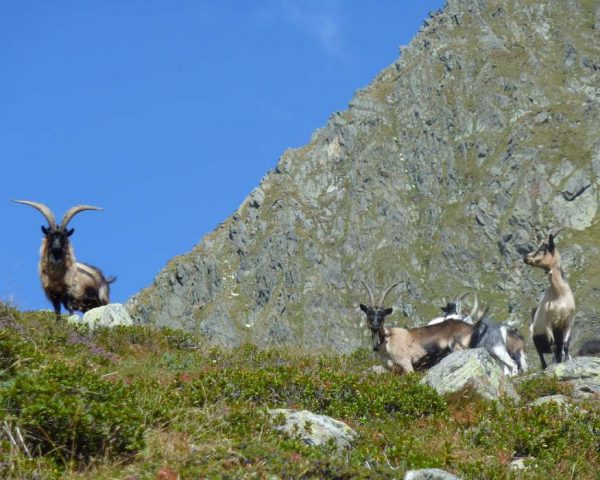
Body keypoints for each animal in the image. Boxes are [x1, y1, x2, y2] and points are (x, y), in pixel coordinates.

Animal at [524, 227, 576, 370]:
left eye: (543, 248)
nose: (526, 257)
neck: (559, 295)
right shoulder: (548, 325)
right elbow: (553, 346)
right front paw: (554, 364)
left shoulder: (568, 322)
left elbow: (566, 345)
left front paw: (566, 360)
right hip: (536, 338)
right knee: (542, 355)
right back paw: (546, 366)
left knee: (559, 348)